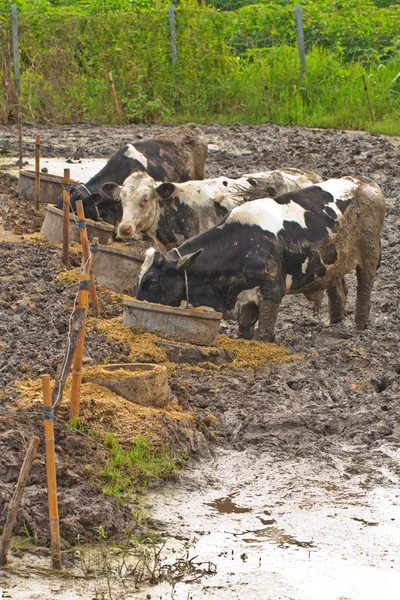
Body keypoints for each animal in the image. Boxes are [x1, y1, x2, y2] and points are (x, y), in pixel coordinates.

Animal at [136, 176, 386, 340]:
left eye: (151, 282)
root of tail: (366, 183)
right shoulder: (246, 297)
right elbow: (245, 327)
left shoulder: (272, 291)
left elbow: (264, 334)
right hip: (333, 263)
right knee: (338, 292)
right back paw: (335, 325)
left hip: (369, 257)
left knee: (364, 291)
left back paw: (359, 328)